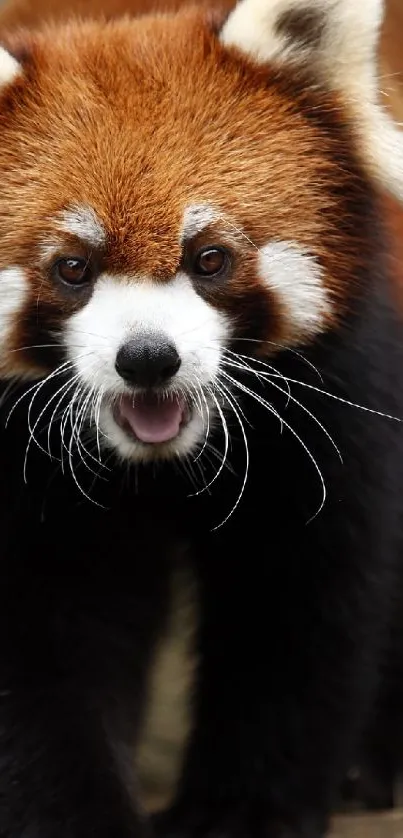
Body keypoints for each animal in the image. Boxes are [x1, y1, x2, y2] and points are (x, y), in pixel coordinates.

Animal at [0, 0, 403, 836]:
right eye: (72, 268)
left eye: (209, 258)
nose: (148, 359)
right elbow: (43, 643)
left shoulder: (333, 385)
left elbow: (301, 608)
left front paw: (237, 814)